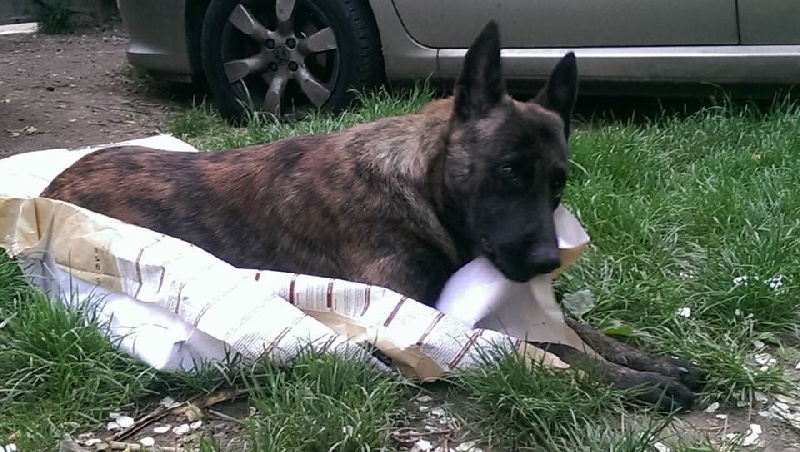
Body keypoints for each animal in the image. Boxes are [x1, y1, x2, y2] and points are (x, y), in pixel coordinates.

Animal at [41, 21, 701, 411]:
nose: (547, 261)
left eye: (558, 183)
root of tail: (55, 181)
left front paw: (647, 357)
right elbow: (546, 345)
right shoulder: (412, 316)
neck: (421, 186)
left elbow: (579, 330)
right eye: (509, 172)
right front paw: (639, 383)